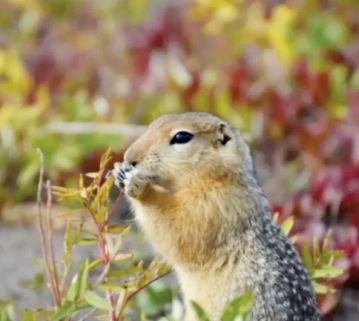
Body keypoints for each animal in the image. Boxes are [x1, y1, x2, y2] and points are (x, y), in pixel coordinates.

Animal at [113, 112, 320, 320]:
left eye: (182, 136)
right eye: (152, 124)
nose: (129, 157)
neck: (220, 178)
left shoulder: (213, 206)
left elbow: (179, 229)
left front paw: (139, 186)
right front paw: (119, 171)